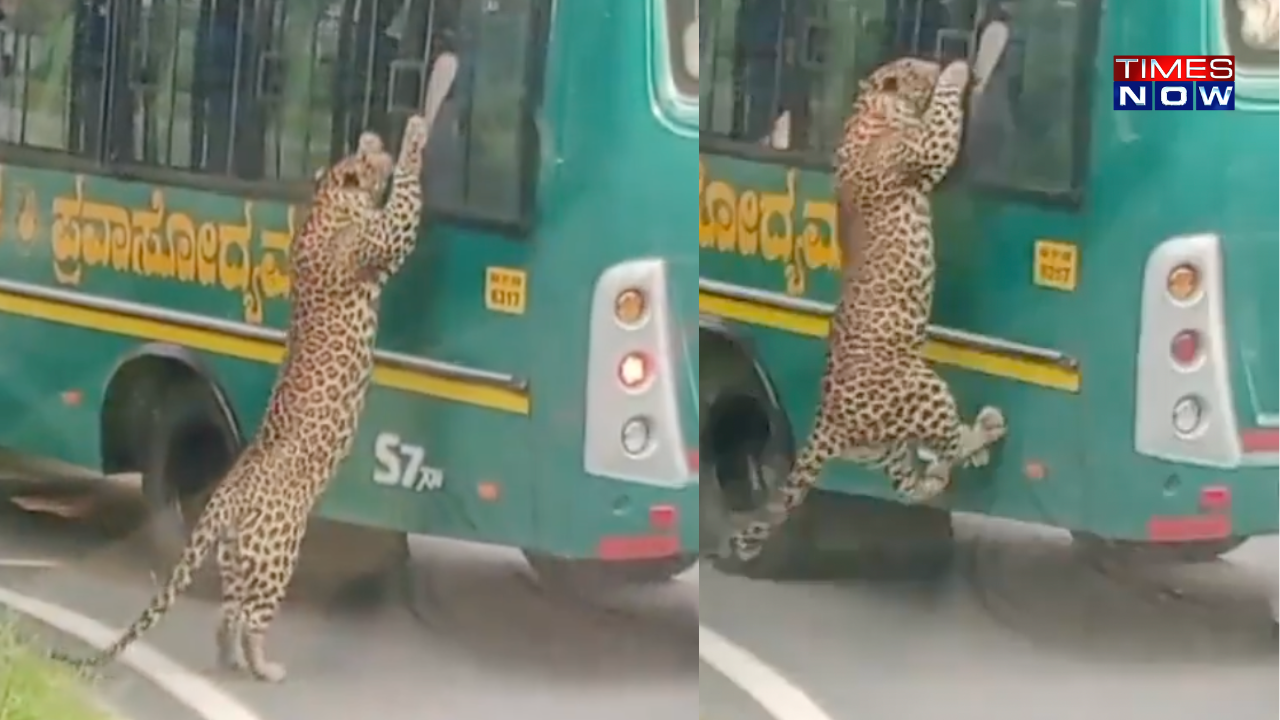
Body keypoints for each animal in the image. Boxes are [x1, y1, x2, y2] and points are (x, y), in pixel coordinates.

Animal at [56, 53, 465, 681]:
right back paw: (264, 666)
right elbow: (404, 204)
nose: (378, 144)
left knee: (227, 612)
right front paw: (416, 135)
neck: (327, 201)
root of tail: (223, 493)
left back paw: (232, 660)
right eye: (372, 160)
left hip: (239, 556)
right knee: (249, 615)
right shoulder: (385, 238)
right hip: (276, 553)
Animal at [721, 56, 1008, 561]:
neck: (870, 105)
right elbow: (943, 120)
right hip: (922, 388)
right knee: (949, 440)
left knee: (912, 483)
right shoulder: (926, 148)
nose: (938, 62)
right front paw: (954, 73)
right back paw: (984, 431)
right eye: (920, 68)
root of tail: (826, 424)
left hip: (885, 448)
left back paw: (941, 472)